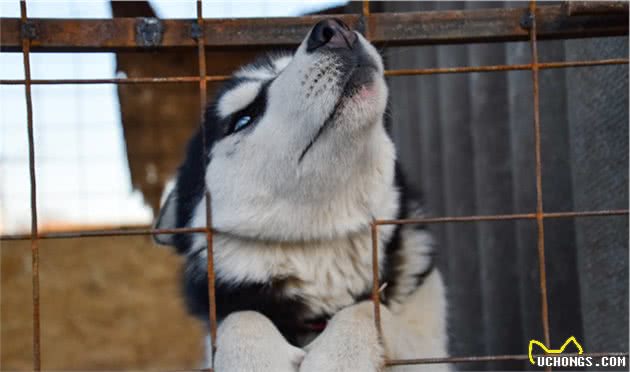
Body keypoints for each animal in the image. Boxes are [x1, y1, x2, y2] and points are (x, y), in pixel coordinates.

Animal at [154, 18, 450, 372]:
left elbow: (369, 309)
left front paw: (340, 356)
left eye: (284, 68)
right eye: (242, 118)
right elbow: (240, 316)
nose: (333, 30)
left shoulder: (431, 345)